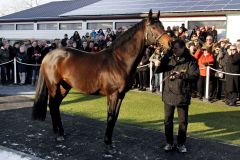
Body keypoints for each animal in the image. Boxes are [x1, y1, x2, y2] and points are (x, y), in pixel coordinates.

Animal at [32, 9, 172, 145]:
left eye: (162, 25)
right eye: (153, 27)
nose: (170, 43)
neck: (119, 61)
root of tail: (48, 55)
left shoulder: (121, 95)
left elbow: (115, 116)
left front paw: (109, 140)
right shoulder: (113, 94)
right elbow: (110, 116)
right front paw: (108, 142)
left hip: (64, 86)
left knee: (54, 105)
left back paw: (59, 131)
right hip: (54, 86)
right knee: (53, 105)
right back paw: (59, 134)